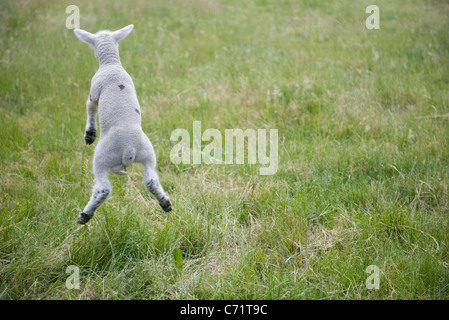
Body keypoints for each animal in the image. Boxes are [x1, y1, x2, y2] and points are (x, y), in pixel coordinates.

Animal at [73, 24, 172, 225]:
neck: (111, 63)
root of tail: (128, 149)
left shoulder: (93, 92)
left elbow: (90, 107)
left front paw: (89, 133)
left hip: (102, 158)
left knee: (103, 188)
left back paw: (85, 215)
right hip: (148, 153)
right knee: (151, 180)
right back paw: (165, 203)